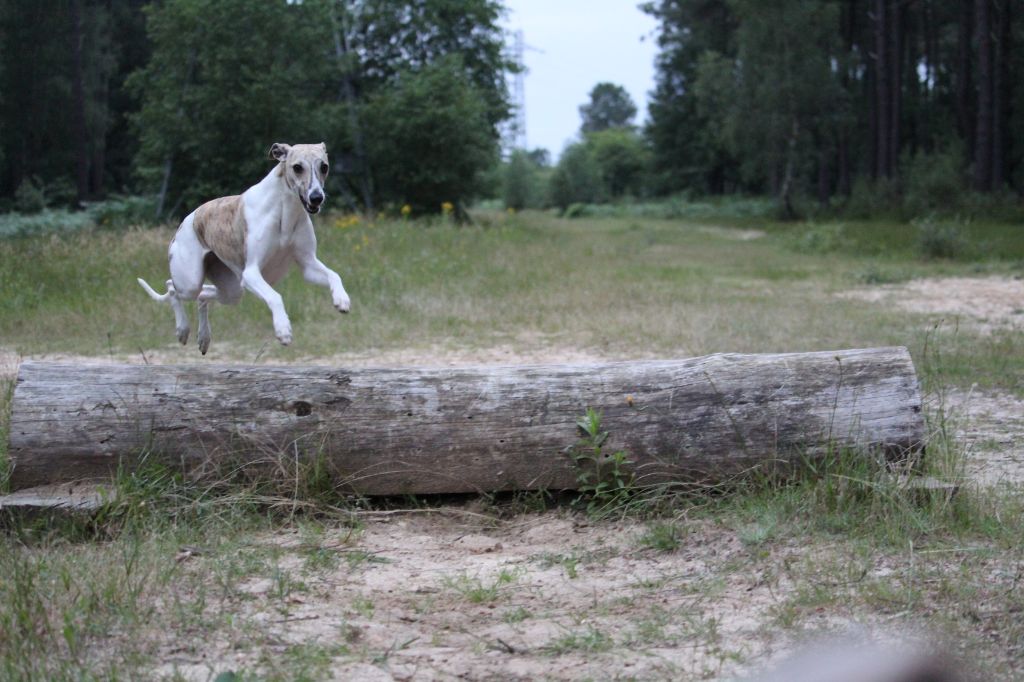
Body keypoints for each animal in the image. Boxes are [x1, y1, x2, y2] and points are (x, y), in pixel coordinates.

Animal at [138, 138, 350, 350]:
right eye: (297, 167)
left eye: (324, 167)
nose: (316, 198)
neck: (285, 211)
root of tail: (185, 222)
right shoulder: (250, 273)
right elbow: (275, 297)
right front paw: (283, 329)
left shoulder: (308, 264)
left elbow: (334, 274)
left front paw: (342, 299)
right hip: (190, 281)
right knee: (172, 287)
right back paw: (182, 329)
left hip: (231, 290)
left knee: (203, 295)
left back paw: (204, 337)